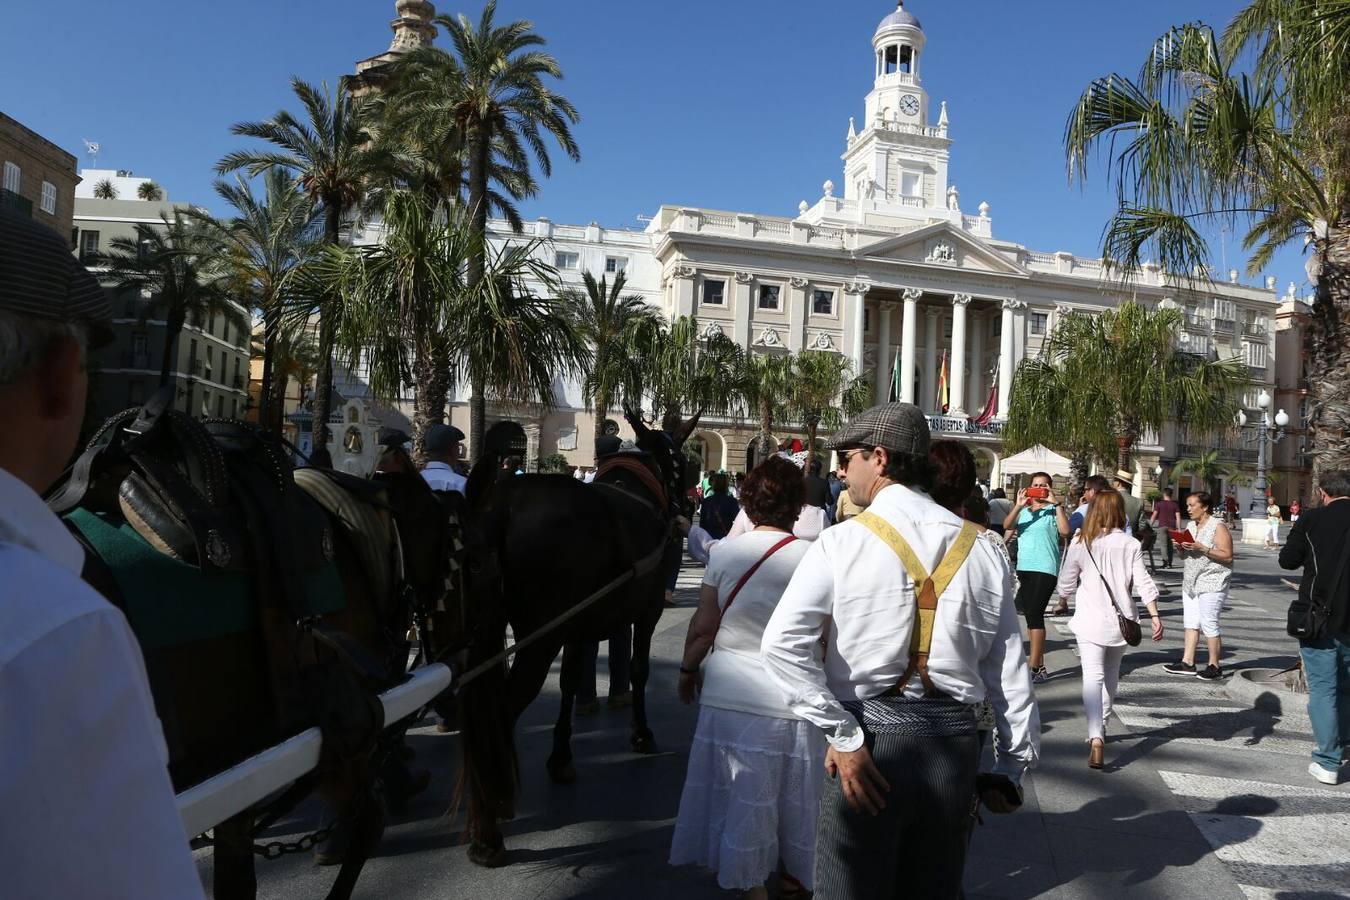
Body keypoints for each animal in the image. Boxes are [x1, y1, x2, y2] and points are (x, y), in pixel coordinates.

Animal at [461, 407, 696, 863]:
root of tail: (503, 503)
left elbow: (570, 681)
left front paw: (560, 755)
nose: (687, 509)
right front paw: (641, 733)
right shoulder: (647, 613)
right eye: (682, 463)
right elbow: (639, 670)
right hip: (537, 640)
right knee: (499, 713)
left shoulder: (577, 624)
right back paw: (488, 831)